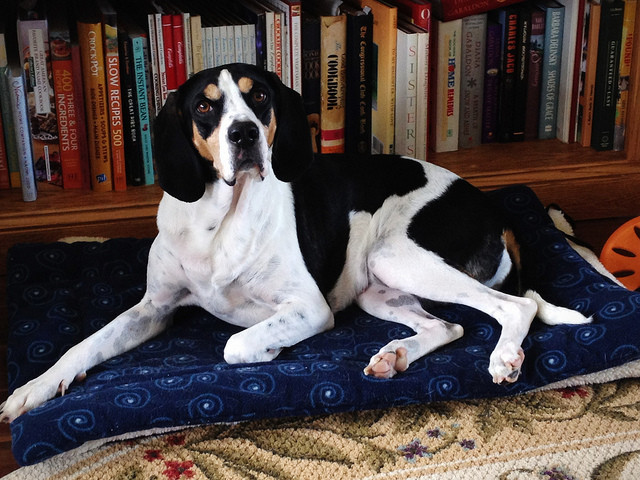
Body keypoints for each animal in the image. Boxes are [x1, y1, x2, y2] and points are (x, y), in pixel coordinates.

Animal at [0, 63, 591, 423]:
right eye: (205, 108)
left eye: (258, 96)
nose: (243, 135)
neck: (220, 219)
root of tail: (492, 206)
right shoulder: (154, 308)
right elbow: (87, 344)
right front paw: (32, 389)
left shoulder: (308, 307)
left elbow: (236, 345)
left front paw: (271, 348)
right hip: (377, 286)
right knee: (449, 325)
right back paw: (394, 356)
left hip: (398, 257)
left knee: (513, 306)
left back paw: (505, 358)